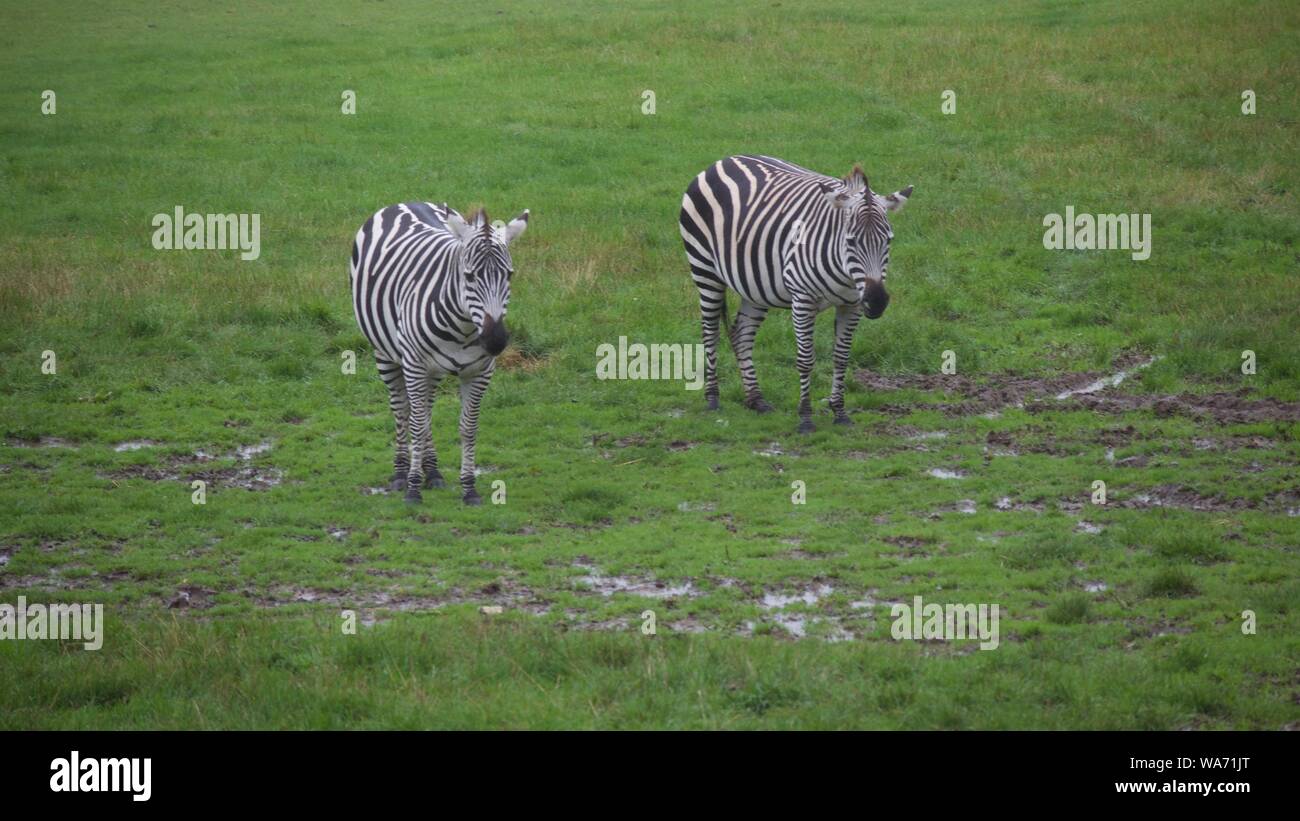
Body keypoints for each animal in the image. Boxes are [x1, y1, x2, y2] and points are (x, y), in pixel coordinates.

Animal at [351, 201, 527, 504]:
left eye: (509, 275)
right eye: (469, 276)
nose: (495, 341)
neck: (464, 329)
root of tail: (404, 202)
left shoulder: (480, 372)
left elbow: (468, 428)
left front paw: (469, 488)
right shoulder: (414, 365)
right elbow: (417, 425)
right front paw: (412, 489)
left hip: (432, 371)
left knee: (427, 408)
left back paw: (432, 471)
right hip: (386, 354)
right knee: (402, 409)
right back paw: (401, 472)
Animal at [681, 156, 915, 433]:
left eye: (888, 241)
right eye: (851, 241)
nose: (877, 302)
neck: (846, 272)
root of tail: (723, 160)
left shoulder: (852, 304)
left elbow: (842, 357)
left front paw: (840, 412)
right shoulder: (803, 299)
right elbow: (805, 359)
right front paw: (805, 419)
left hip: (756, 286)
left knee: (741, 335)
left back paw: (756, 400)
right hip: (704, 268)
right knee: (711, 333)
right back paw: (713, 398)